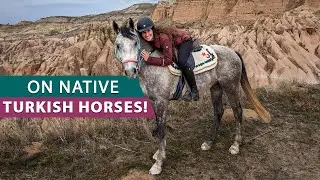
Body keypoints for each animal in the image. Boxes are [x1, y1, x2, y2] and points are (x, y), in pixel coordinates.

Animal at [112, 18, 270, 174]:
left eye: (135, 43)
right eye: (118, 45)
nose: (131, 71)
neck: (153, 65)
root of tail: (233, 51)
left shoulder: (162, 101)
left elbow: (162, 130)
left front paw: (158, 164)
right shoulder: (153, 101)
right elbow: (158, 125)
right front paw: (158, 154)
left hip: (230, 87)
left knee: (237, 111)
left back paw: (236, 145)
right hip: (216, 88)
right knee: (219, 112)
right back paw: (209, 142)